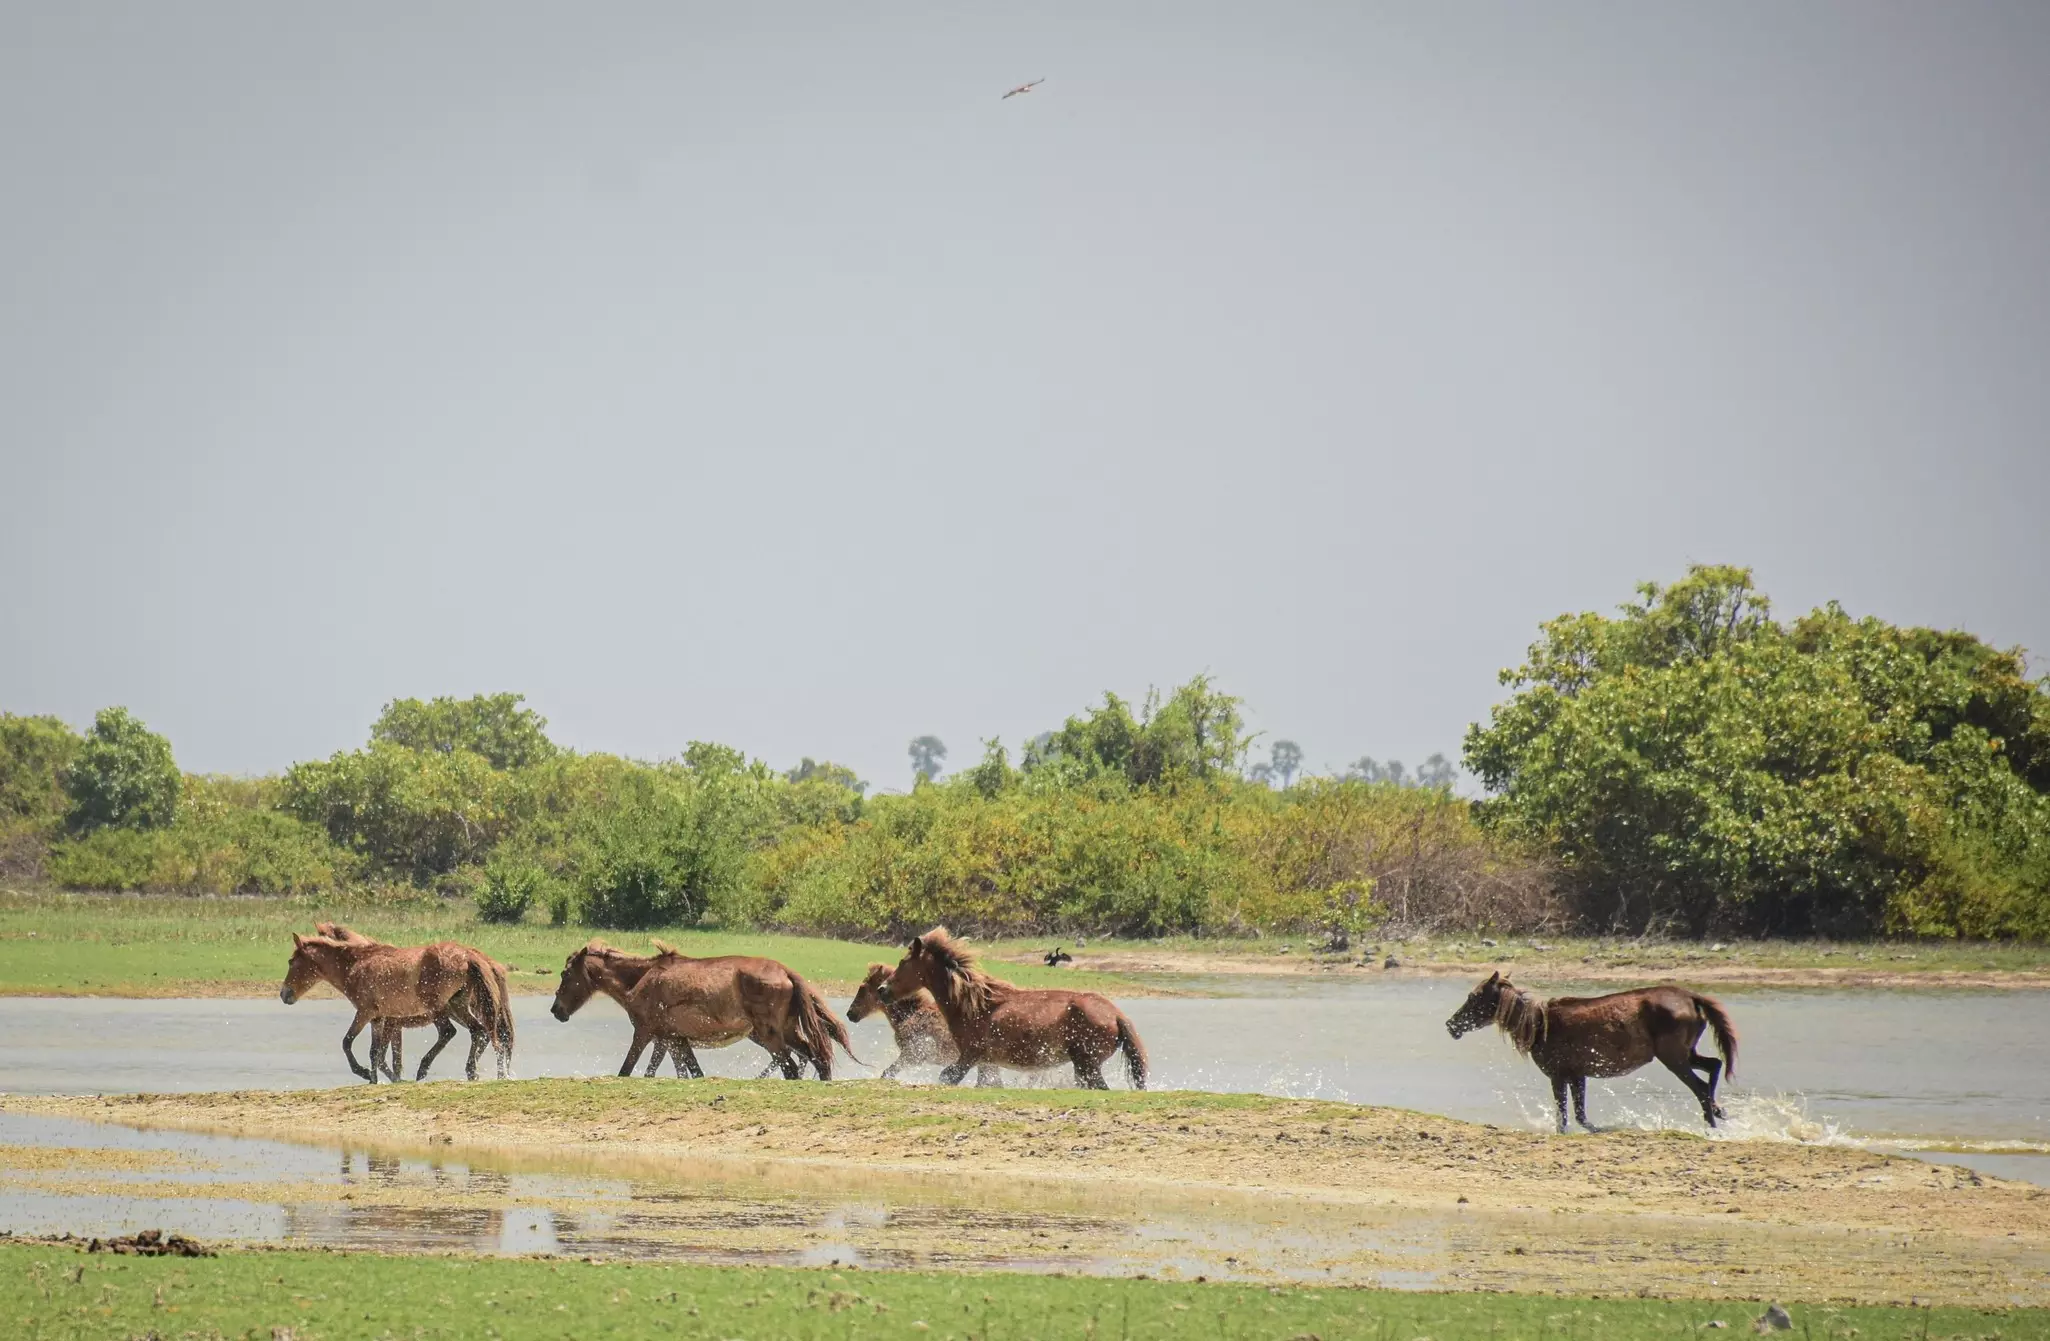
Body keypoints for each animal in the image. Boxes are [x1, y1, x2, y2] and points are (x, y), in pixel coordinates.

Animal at [280, 933, 509, 1084]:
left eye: (291, 961)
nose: (284, 994)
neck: (356, 964)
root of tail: (467, 957)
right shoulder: (378, 1018)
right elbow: (375, 1052)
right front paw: (373, 1079)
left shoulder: (365, 1012)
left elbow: (347, 1043)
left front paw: (364, 1073)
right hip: (457, 1005)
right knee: (480, 1031)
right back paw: (473, 1072)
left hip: (437, 1008)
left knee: (448, 1032)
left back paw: (423, 1070)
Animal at [550, 940, 856, 1080]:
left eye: (565, 974)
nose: (556, 1011)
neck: (641, 980)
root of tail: (785, 971)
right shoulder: (672, 1040)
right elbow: (689, 1072)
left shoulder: (645, 1033)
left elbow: (626, 1070)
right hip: (786, 1032)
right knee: (817, 1058)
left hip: (770, 1036)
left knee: (792, 1067)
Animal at [881, 927, 1147, 1090]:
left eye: (902, 962)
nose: (883, 990)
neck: (974, 1005)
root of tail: (1117, 1015)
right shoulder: (986, 1062)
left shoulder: (970, 1054)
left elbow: (948, 1077)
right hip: (1083, 1068)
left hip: (1087, 1065)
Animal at [1444, 971, 1738, 1132]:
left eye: (1473, 997)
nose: (1451, 1025)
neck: (1538, 1026)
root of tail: (1691, 997)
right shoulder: (1578, 1075)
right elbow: (1581, 1115)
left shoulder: (1558, 1074)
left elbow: (1564, 1115)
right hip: (1686, 1053)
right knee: (1714, 1065)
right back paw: (1719, 1111)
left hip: (1673, 1057)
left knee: (1701, 1088)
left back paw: (1711, 1124)